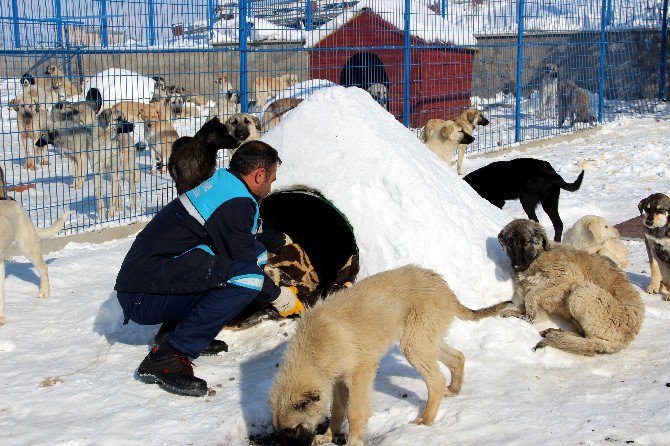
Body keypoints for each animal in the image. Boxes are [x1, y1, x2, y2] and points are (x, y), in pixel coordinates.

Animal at [270, 264, 512, 446]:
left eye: (293, 430)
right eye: (283, 433)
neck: (313, 350)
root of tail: (445, 288)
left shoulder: (360, 373)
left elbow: (355, 411)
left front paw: (353, 441)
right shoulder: (337, 379)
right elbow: (337, 409)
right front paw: (328, 436)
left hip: (414, 344)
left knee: (436, 379)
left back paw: (426, 419)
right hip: (425, 340)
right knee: (457, 357)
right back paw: (452, 390)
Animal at [498, 219, 644, 356]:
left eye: (525, 242)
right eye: (510, 244)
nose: (516, 266)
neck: (538, 257)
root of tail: (628, 338)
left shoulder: (567, 274)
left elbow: (531, 295)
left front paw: (526, 315)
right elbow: (514, 308)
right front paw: (513, 313)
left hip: (581, 290)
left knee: (591, 343)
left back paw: (557, 336)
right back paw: (555, 332)